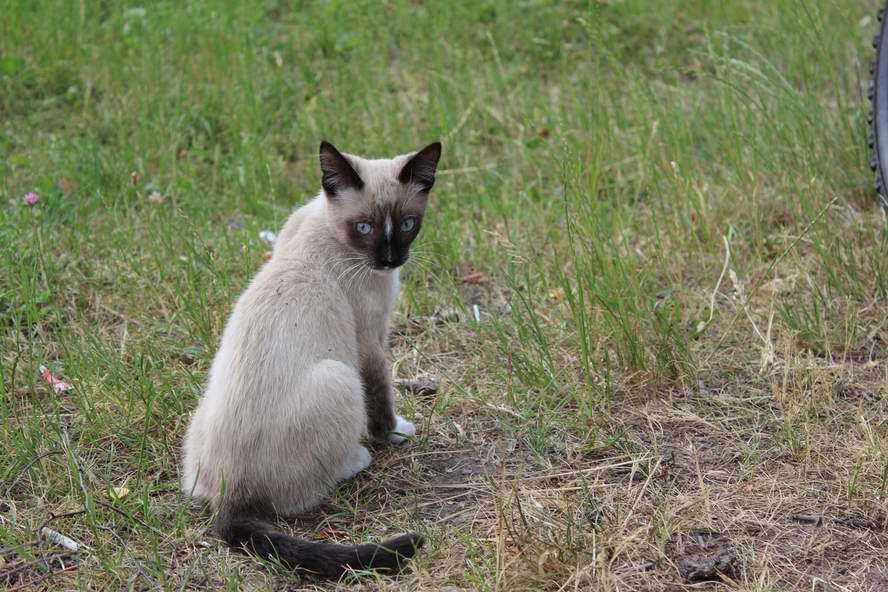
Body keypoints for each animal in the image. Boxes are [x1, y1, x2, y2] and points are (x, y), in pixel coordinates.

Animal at [181, 140, 444, 580]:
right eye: (364, 228)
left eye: (408, 224)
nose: (390, 260)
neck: (328, 228)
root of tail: (229, 499)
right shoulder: (370, 340)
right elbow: (382, 394)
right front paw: (393, 433)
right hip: (340, 377)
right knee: (298, 498)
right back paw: (357, 457)